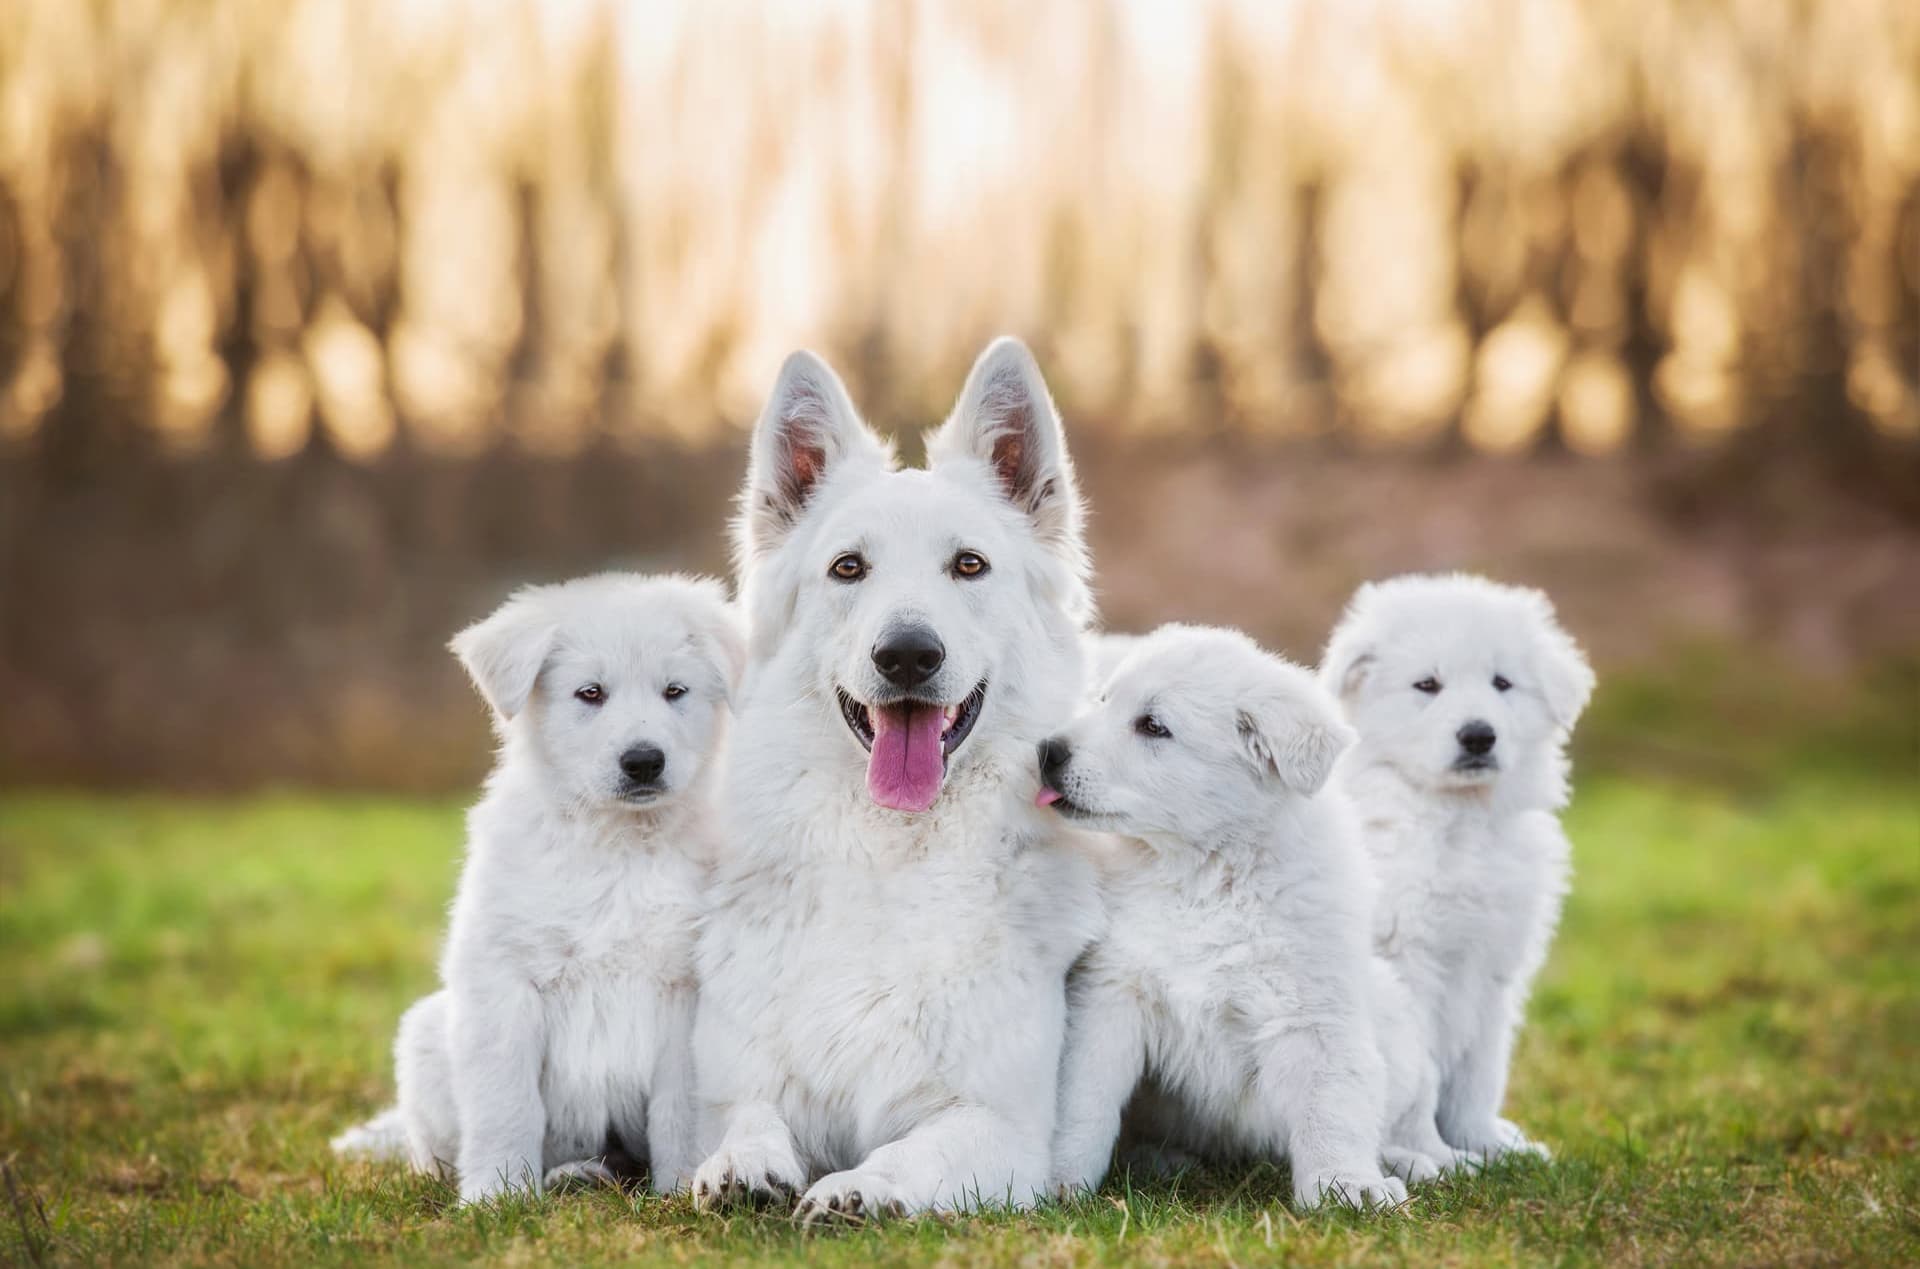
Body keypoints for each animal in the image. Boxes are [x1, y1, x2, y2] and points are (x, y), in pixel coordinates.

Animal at [330, 568, 741, 1205]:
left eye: (676, 692)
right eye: (589, 693)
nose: (643, 762)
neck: (615, 845)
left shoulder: (685, 989)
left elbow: (679, 1108)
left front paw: (679, 1190)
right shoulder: (503, 980)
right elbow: (506, 1103)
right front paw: (496, 1196)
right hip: (426, 1036)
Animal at [691, 334, 1105, 1221]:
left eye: (969, 565)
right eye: (849, 568)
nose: (908, 654)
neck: (892, 854)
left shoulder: (1001, 1128)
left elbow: (920, 1147)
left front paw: (863, 1185)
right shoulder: (732, 1086)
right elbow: (748, 1115)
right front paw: (744, 1163)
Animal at [1044, 622, 1474, 1205]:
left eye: (1153, 726)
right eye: (1104, 700)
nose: (1046, 751)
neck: (1203, 875)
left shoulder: (1315, 1013)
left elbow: (1331, 1108)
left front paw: (1345, 1186)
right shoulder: (1110, 994)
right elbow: (1083, 1099)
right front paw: (1059, 1182)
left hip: (1397, 1028)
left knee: (1409, 1120)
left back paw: (1422, 1162)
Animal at [1320, 572, 1589, 1159]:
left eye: (1501, 683)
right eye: (1427, 685)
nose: (1478, 735)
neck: (1457, 821)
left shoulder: (1493, 970)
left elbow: (1478, 1073)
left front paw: (1489, 1148)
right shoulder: (1408, 966)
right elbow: (1421, 1074)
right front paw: (1440, 1157)